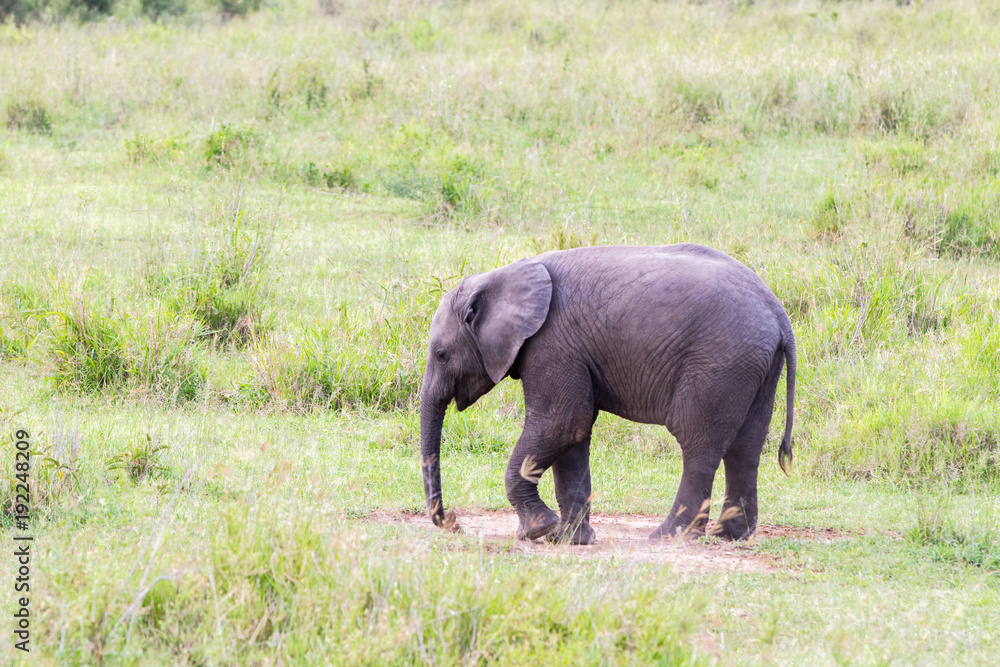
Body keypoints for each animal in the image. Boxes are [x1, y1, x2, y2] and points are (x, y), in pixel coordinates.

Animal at [419, 243, 796, 545]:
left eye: (441, 354)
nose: (452, 523)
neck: (502, 276)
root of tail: (779, 315)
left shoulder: (551, 343)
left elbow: (562, 423)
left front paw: (538, 531)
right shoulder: (567, 349)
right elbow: (573, 436)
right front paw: (569, 540)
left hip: (719, 363)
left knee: (698, 444)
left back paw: (669, 537)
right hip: (754, 366)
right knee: (745, 448)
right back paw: (729, 536)